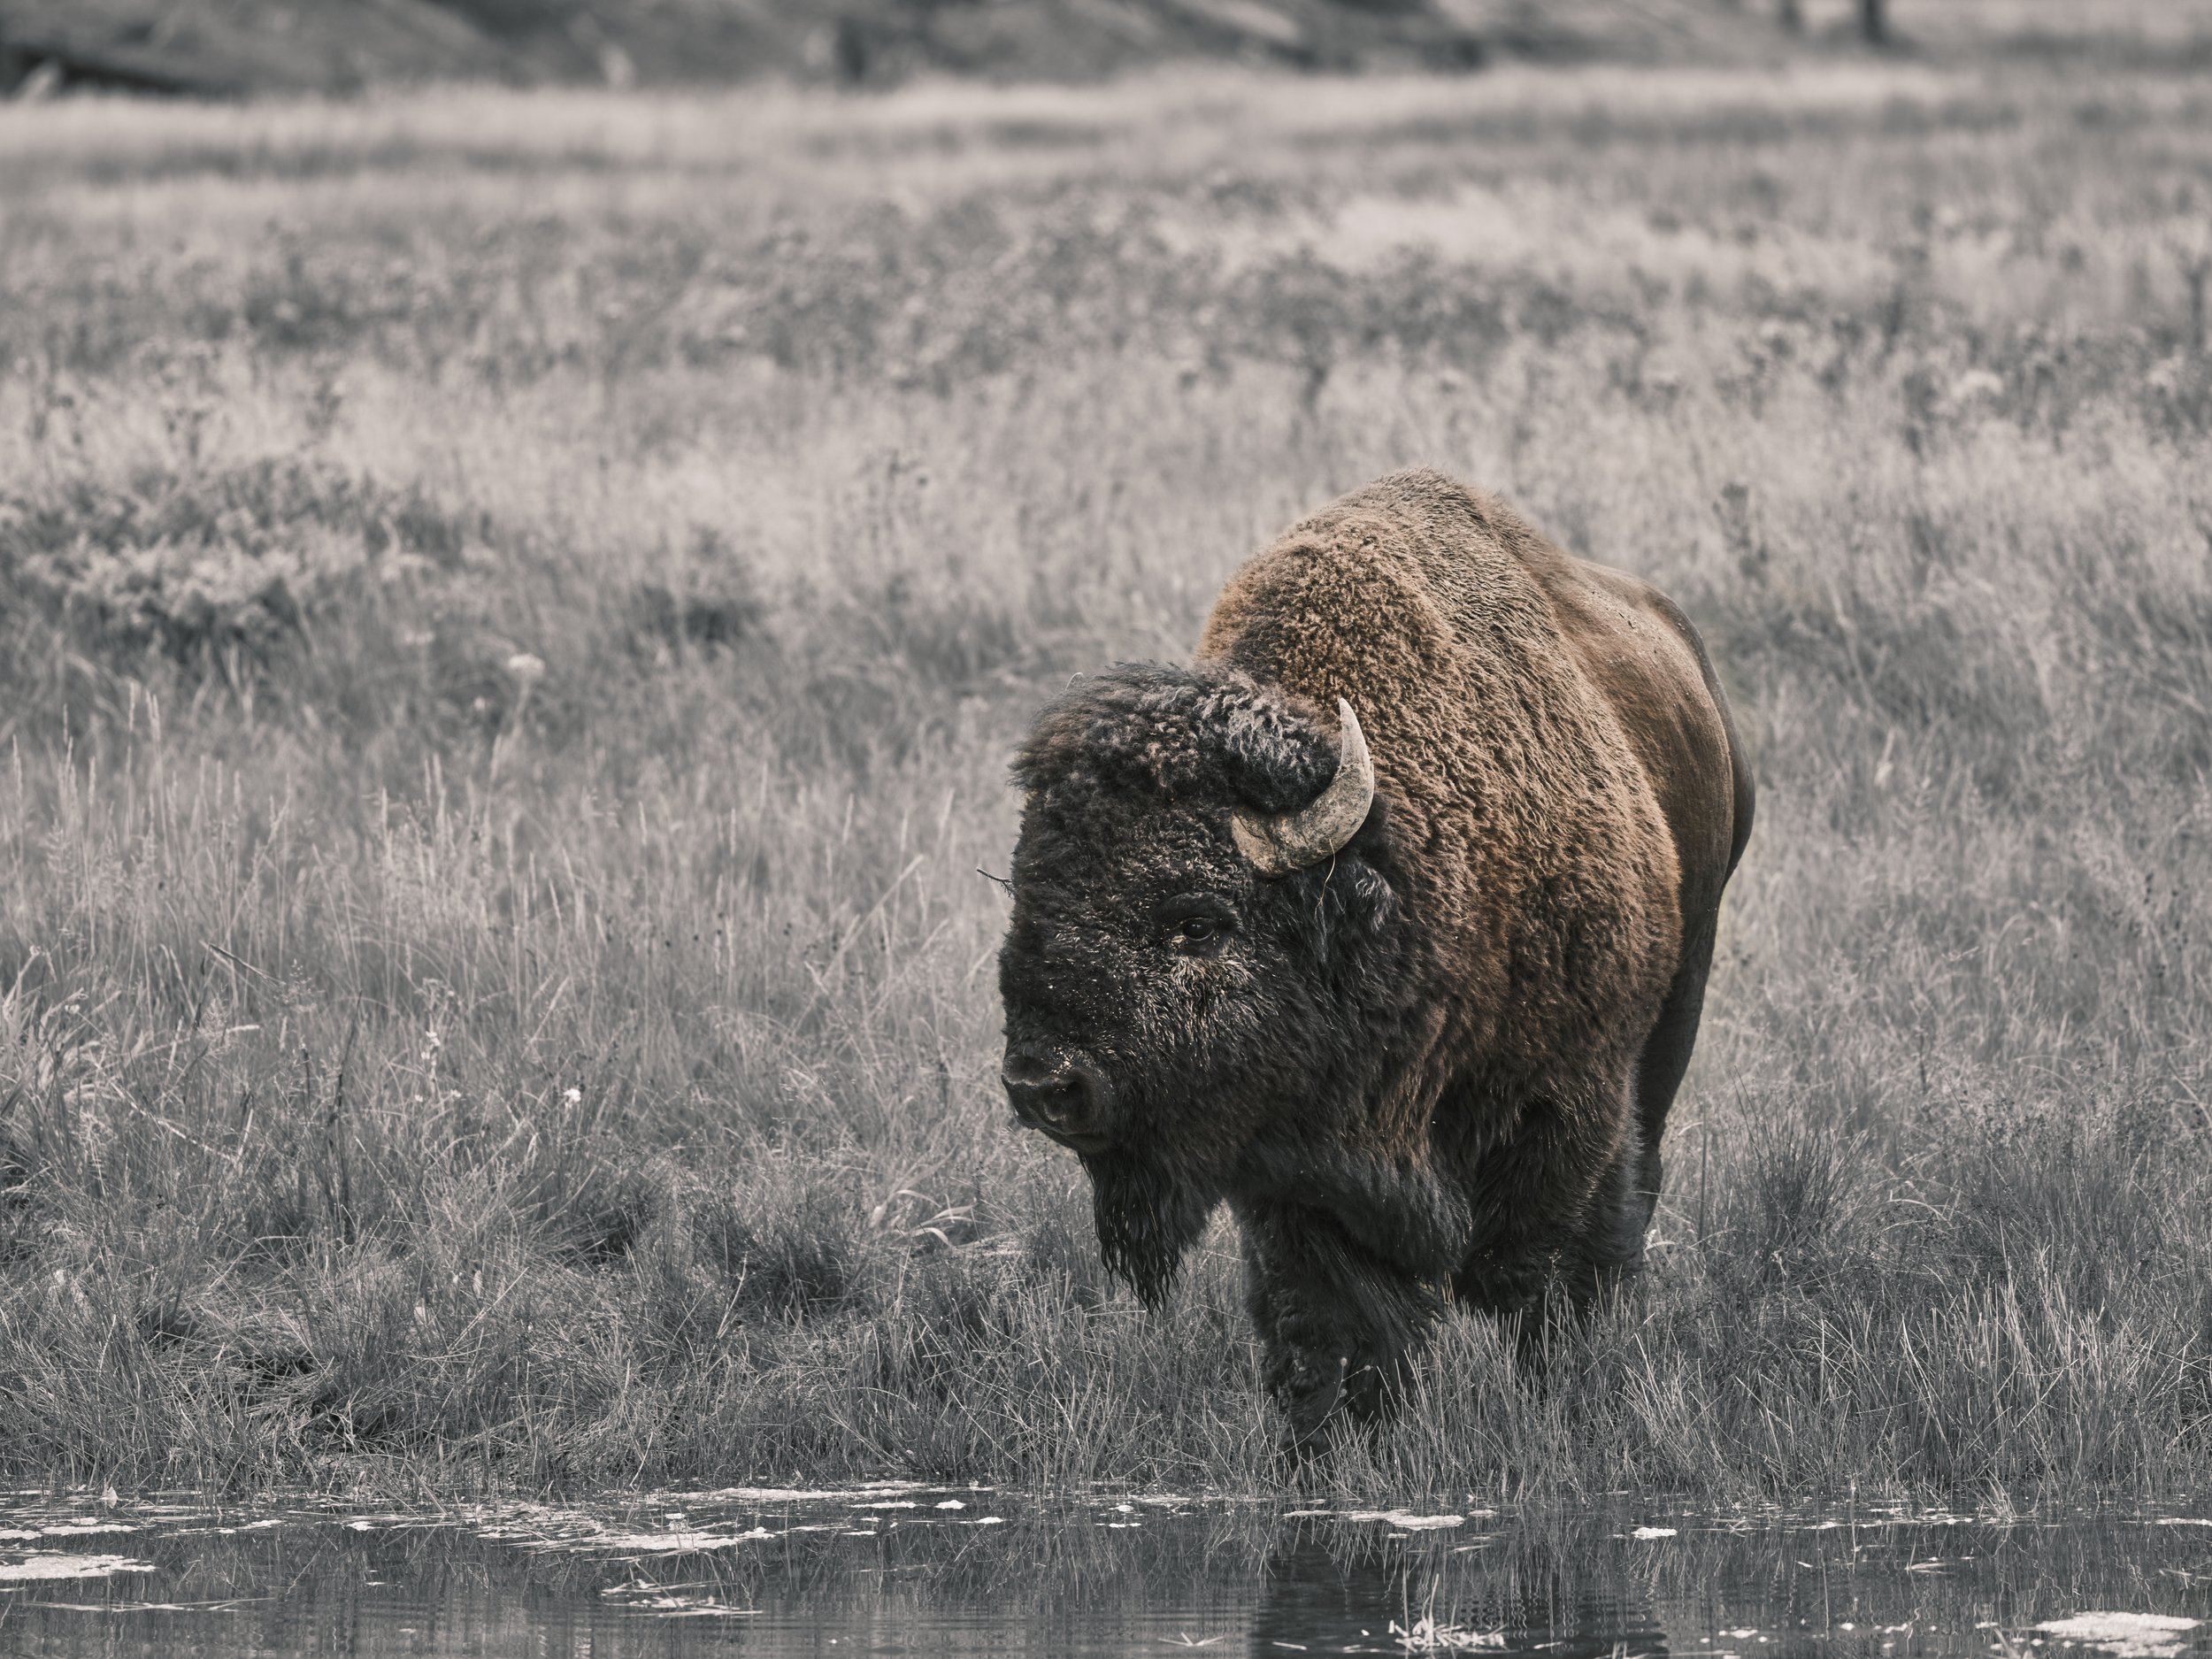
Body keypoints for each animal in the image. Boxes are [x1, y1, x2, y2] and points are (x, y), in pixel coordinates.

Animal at [998, 469, 1753, 1441]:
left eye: (1198, 921)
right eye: (1027, 894)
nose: (1042, 1084)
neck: (1392, 872)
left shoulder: (1569, 1104)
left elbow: (1538, 1272)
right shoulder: (1301, 1171)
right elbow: (1337, 1320)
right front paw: (1336, 1439)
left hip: (1679, 1002)